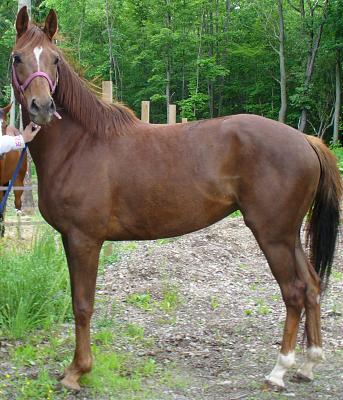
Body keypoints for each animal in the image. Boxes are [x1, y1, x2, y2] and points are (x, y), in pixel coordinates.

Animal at [12, 6, 342, 392]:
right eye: (17, 57)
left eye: (55, 59)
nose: (43, 108)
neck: (80, 145)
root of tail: (305, 140)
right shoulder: (70, 239)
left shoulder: (84, 240)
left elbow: (82, 304)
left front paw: (77, 371)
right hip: (290, 236)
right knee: (312, 286)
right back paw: (309, 364)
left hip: (273, 235)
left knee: (293, 291)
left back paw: (279, 370)